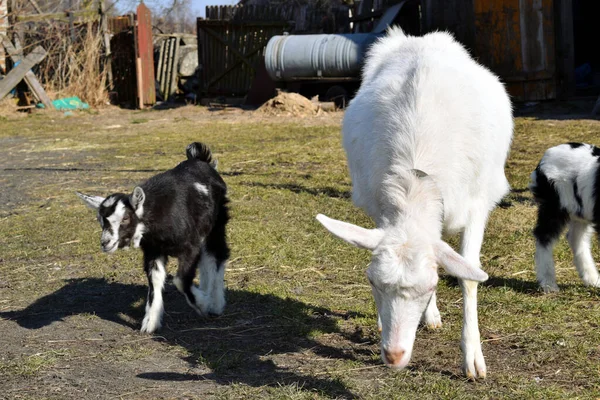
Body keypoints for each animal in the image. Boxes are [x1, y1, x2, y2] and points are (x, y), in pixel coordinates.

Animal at [77, 142, 230, 332]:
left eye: (125, 218)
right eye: (100, 220)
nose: (106, 243)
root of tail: (200, 160)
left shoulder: (190, 247)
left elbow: (180, 280)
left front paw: (203, 303)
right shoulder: (153, 250)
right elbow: (155, 280)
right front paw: (150, 323)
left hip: (217, 222)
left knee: (217, 254)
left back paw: (215, 303)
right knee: (206, 259)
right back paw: (206, 290)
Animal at [316, 28, 512, 378]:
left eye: (430, 286)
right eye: (372, 281)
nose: (394, 356)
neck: (416, 183)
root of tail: (416, 38)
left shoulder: (477, 204)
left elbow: (468, 275)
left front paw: (473, 357)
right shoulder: (381, 207)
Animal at [528, 142, 600, 292]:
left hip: (581, 211)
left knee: (576, 239)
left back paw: (592, 280)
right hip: (553, 205)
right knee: (544, 236)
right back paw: (548, 283)